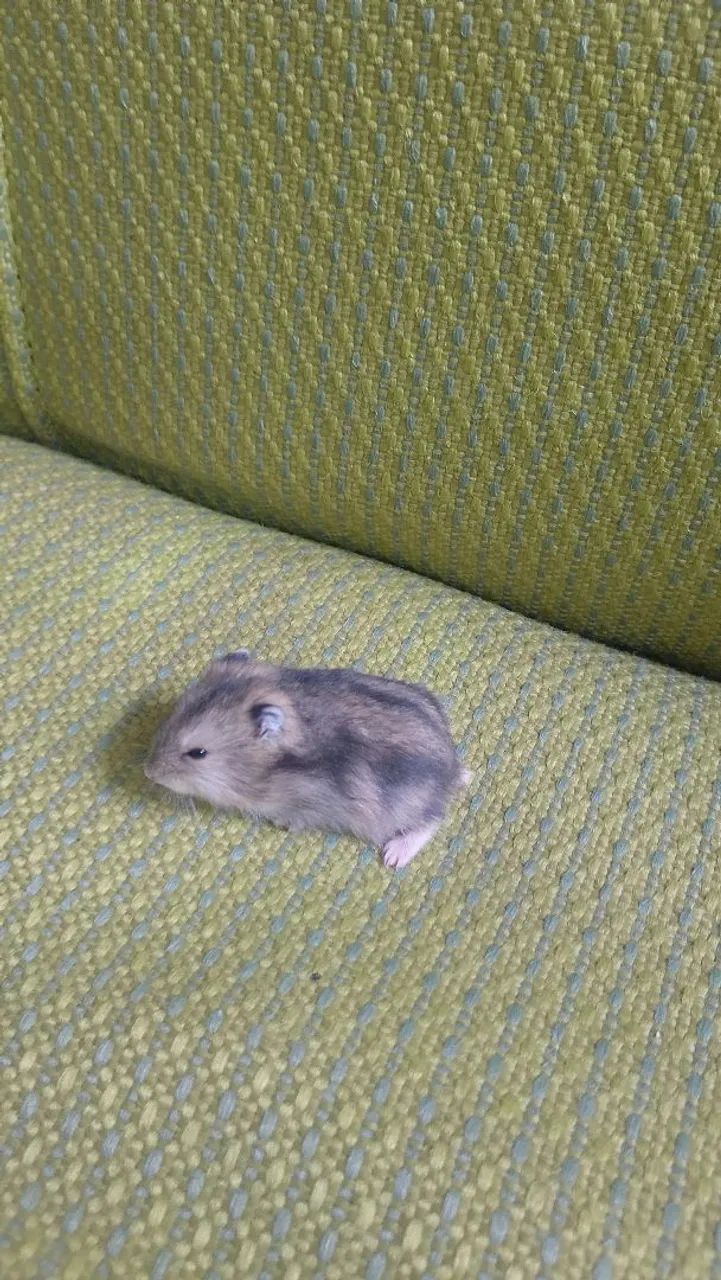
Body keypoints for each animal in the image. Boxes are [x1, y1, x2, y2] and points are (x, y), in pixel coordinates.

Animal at [144, 650, 468, 868]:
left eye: (198, 753)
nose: (148, 771)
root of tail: (451, 770)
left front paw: (281, 822)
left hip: (404, 807)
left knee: (432, 819)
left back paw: (393, 856)